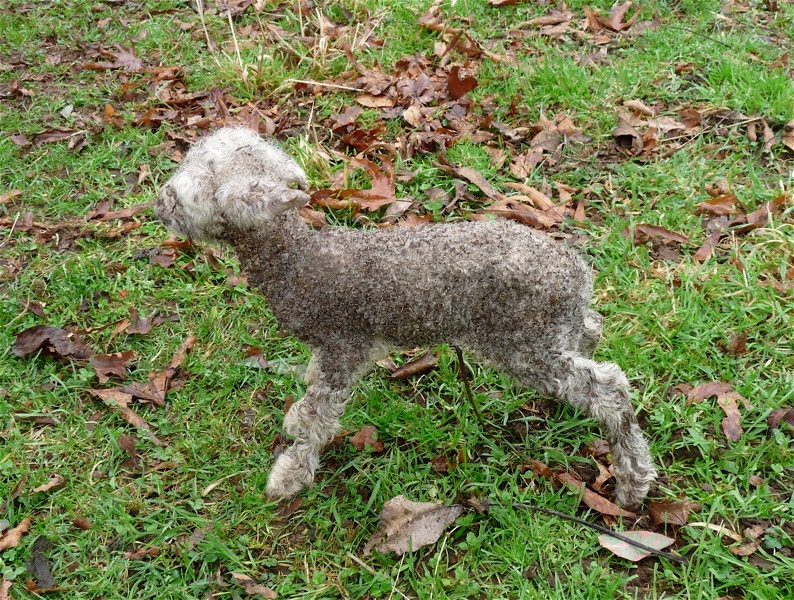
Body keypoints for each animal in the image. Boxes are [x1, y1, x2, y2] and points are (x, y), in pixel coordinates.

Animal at [155, 126, 658, 508]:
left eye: (191, 190)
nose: (161, 203)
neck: (296, 257)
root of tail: (576, 271)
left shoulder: (342, 346)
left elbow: (320, 417)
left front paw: (289, 476)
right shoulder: (329, 351)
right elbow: (311, 393)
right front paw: (294, 423)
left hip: (522, 343)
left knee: (610, 387)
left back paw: (633, 479)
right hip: (550, 332)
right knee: (591, 331)